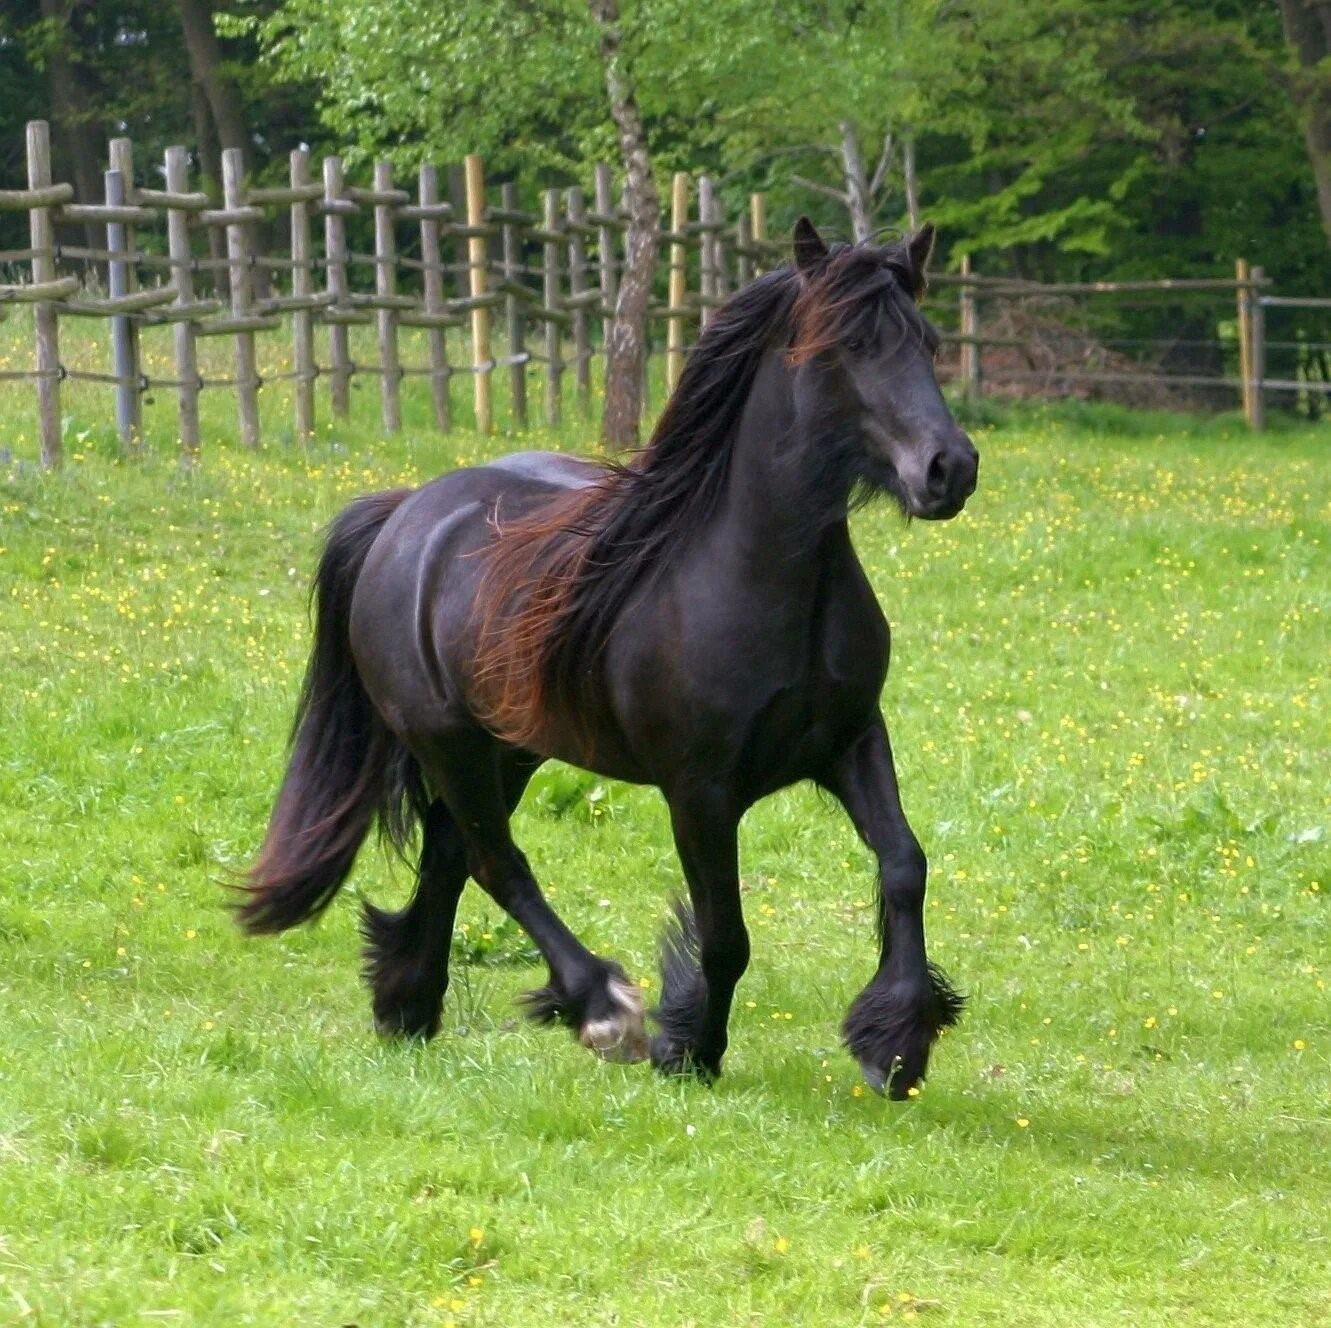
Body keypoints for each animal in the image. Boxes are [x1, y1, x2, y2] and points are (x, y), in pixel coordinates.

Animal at [242, 220, 979, 1101]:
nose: (948, 468)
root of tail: (405, 514)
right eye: (850, 344)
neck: (755, 577)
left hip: (510, 749)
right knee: (496, 861)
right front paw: (687, 1046)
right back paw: (599, 1008)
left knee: (453, 854)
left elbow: (904, 864)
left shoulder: (850, 741)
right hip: (449, 743)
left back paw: (408, 1004)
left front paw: (895, 1040)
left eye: (928, 341)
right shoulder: (699, 791)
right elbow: (725, 933)